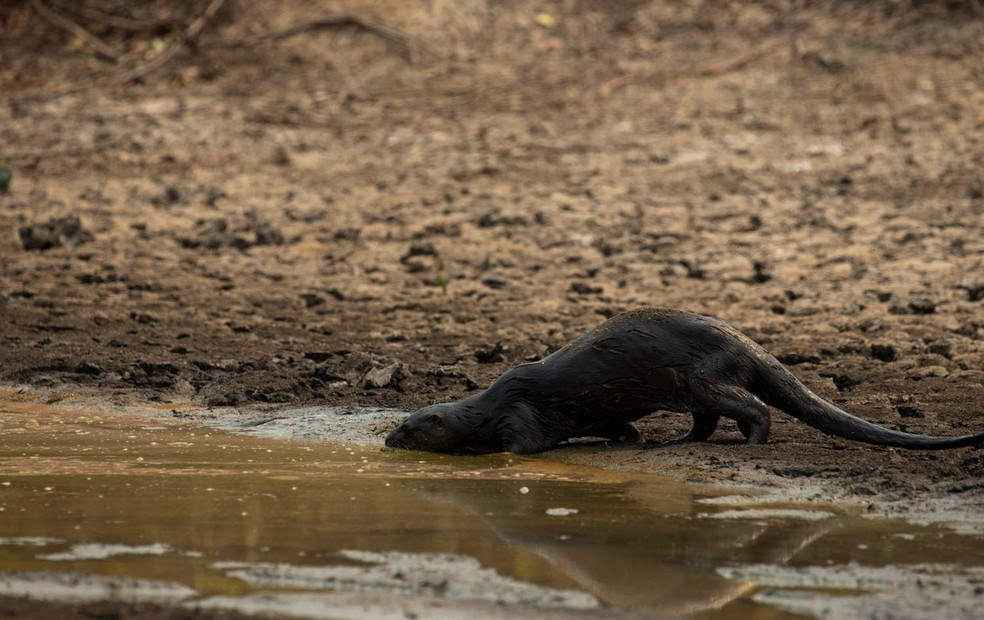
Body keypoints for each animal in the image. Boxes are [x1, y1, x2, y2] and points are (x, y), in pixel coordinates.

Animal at [386, 306, 984, 456]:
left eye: (409, 425)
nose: (386, 438)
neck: (484, 407)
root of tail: (745, 341)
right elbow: (618, 427)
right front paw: (628, 441)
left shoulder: (518, 414)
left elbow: (522, 447)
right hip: (696, 385)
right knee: (707, 419)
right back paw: (676, 440)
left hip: (704, 375)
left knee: (750, 407)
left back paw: (751, 442)